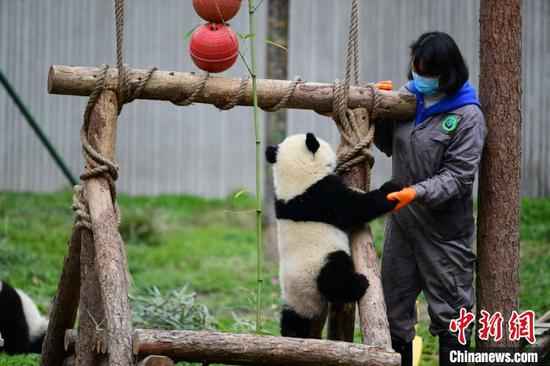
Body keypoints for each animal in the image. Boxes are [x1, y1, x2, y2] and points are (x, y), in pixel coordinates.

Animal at [268, 133, 402, 338]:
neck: (295, 181)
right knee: (335, 278)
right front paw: (390, 189)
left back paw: (293, 334)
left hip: (291, 300)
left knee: (291, 320)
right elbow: (357, 207)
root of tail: (306, 296)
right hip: (320, 264)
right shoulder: (323, 197)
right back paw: (358, 283)